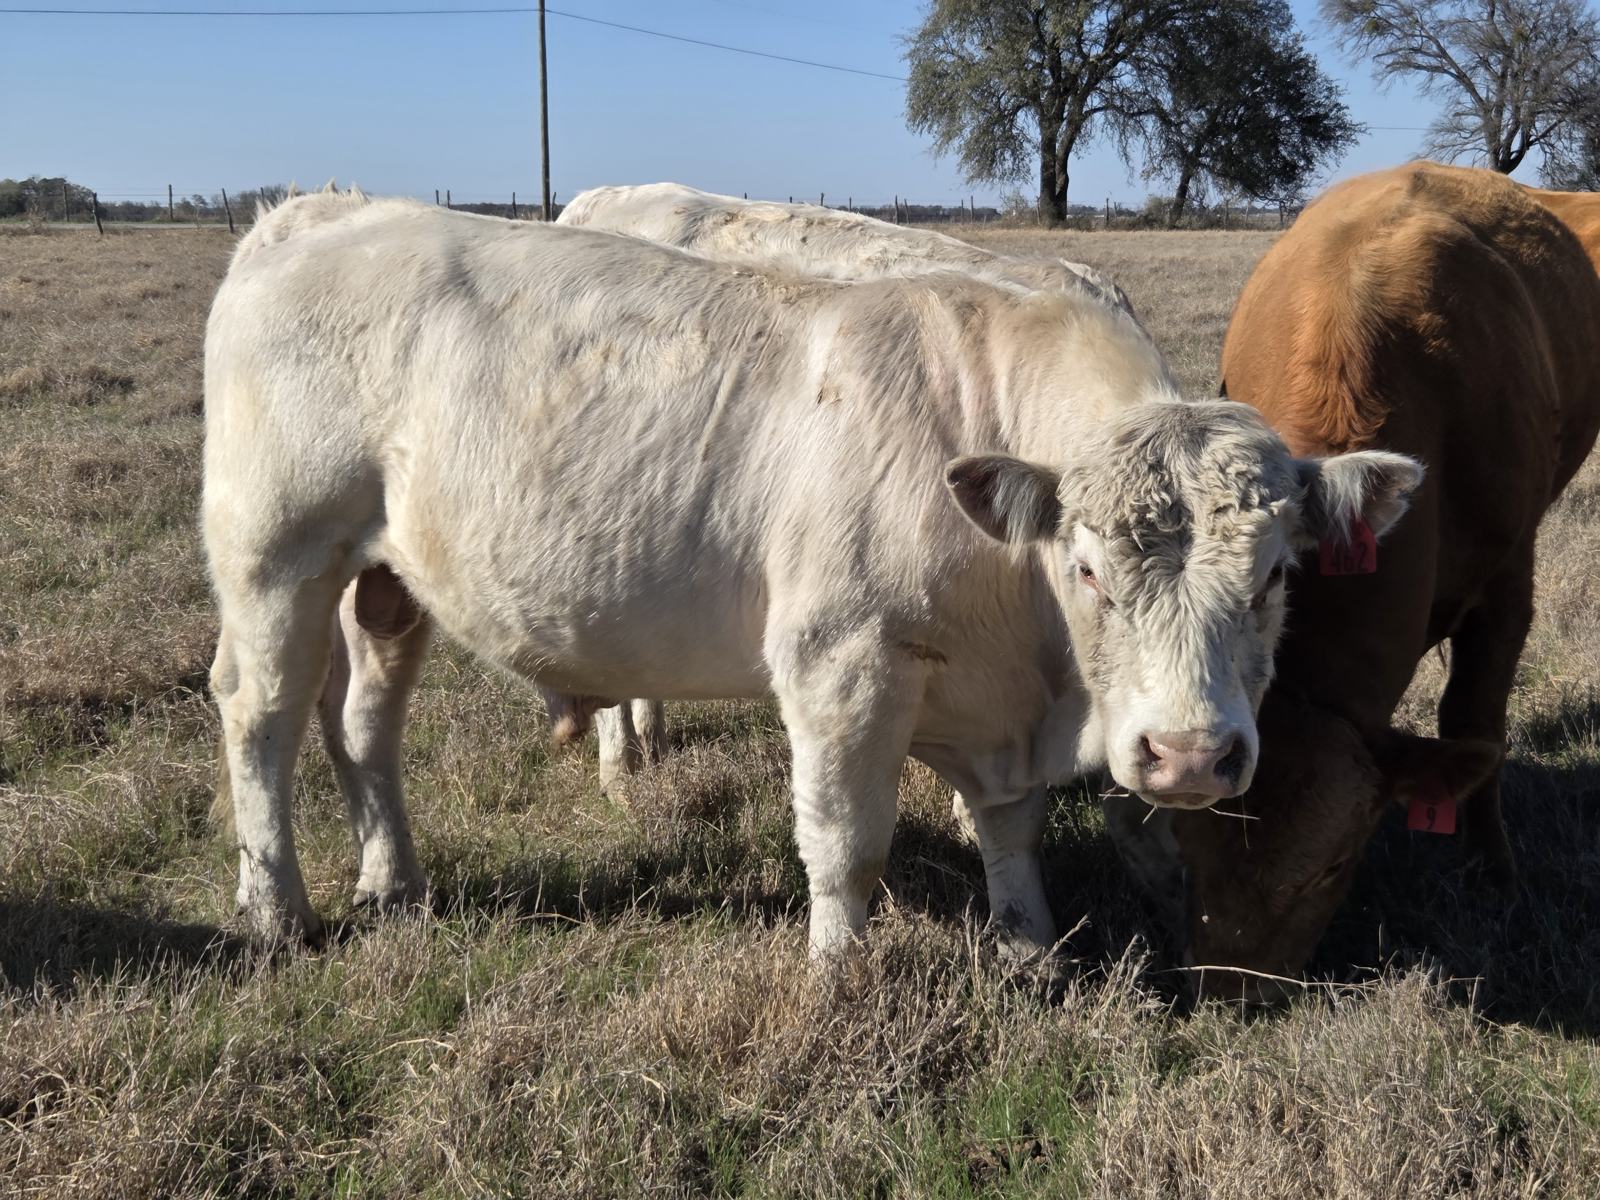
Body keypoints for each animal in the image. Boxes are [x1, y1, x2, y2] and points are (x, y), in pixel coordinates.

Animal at [204, 187, 1418, 961]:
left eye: (1275, 577)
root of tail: (317, 210)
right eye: (1086, 570)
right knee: (261, 719)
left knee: (363, 723)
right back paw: (278, 910)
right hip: (275, 556)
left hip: (385, 580)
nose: (1191, 755)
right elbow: (846, 843)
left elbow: (1010, 830)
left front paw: (1028, 948)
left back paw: (394, 883)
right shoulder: (843, 666)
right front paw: (840, 972)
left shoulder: (1000, 701)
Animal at [1106, 163, 1600, 1001]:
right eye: (1186, 847)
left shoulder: (1509, 585)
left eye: (1334, 867)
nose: (1232, 994)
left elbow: (1476, 719)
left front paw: (1493, 871)